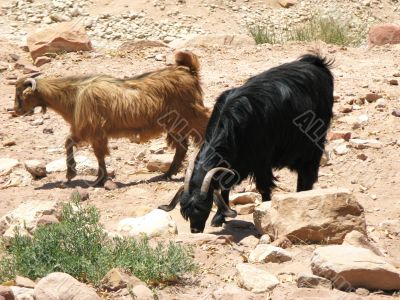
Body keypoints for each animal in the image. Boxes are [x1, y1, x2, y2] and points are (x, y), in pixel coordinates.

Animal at [14, 50, 208, 189]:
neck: (74, 95)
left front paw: (90, 178)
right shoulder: (88, 132)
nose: (16, 110)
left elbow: (95, 153)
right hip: (176, 125)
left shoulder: (92, 131)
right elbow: (76, 145)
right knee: (182, 147)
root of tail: (189, 73)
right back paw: (167, 174)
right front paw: (81, 175)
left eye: (21, 95)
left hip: (192, 115)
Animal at [159, 53, 334, 232]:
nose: (195, 231)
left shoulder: (261, 160)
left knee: (308, 172)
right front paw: (220, 217)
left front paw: (265, 213)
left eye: (203, 207)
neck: (234, 125)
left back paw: (303, 194)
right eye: (184, 211)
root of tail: (316, 63)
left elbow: (263, 187)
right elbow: (225, 188)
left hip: (314, 140)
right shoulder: (234, 163)